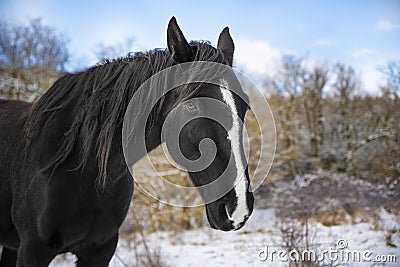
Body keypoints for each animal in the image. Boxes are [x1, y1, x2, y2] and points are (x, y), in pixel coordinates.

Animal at [0, 17, 255, 266]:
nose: (238, 208)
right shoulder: (33, 250)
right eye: (191, 105)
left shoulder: (100, 250)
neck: (83, 168)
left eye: (244, 105)